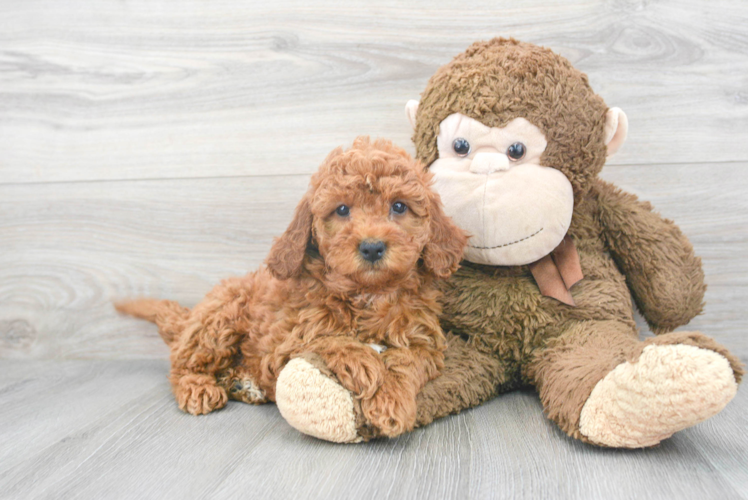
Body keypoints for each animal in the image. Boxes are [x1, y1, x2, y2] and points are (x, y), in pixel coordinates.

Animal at [117, 137, 464, 438]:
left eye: (399, 207)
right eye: (341, 209)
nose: (372, 247)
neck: (367, 293)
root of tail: (190, 318)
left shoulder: (424, 341)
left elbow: (406, 361)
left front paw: (392, 401)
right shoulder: (284, 341)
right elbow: (325, 338)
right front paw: (363, 361)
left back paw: (242, 383)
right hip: (220, 318)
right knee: (183, 363)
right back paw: (198, 387)